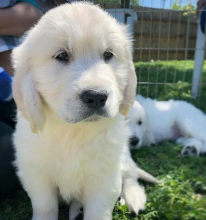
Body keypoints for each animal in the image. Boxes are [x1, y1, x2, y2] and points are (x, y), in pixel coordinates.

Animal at [11, 2, 156, 220]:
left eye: (108, 55)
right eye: (61, 55)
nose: (96, 97)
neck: (73, 132)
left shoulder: (106, 177)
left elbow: (98, 211)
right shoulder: (35, 173)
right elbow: (45, 206)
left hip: (122, 157)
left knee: (130, 175)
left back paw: (134, 197)